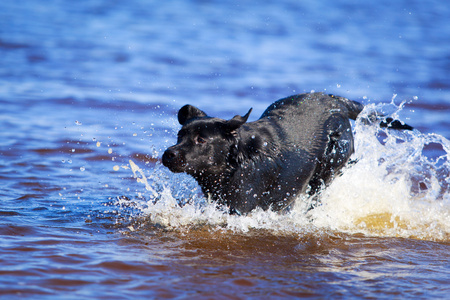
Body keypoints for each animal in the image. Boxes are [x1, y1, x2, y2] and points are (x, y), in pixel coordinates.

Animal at [163, 92, 412, 214]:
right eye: (179, 135)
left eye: (201, 140)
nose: (168, 154)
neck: (237, 161)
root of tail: (336, 102)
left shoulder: (241, 206)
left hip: (326, 171)